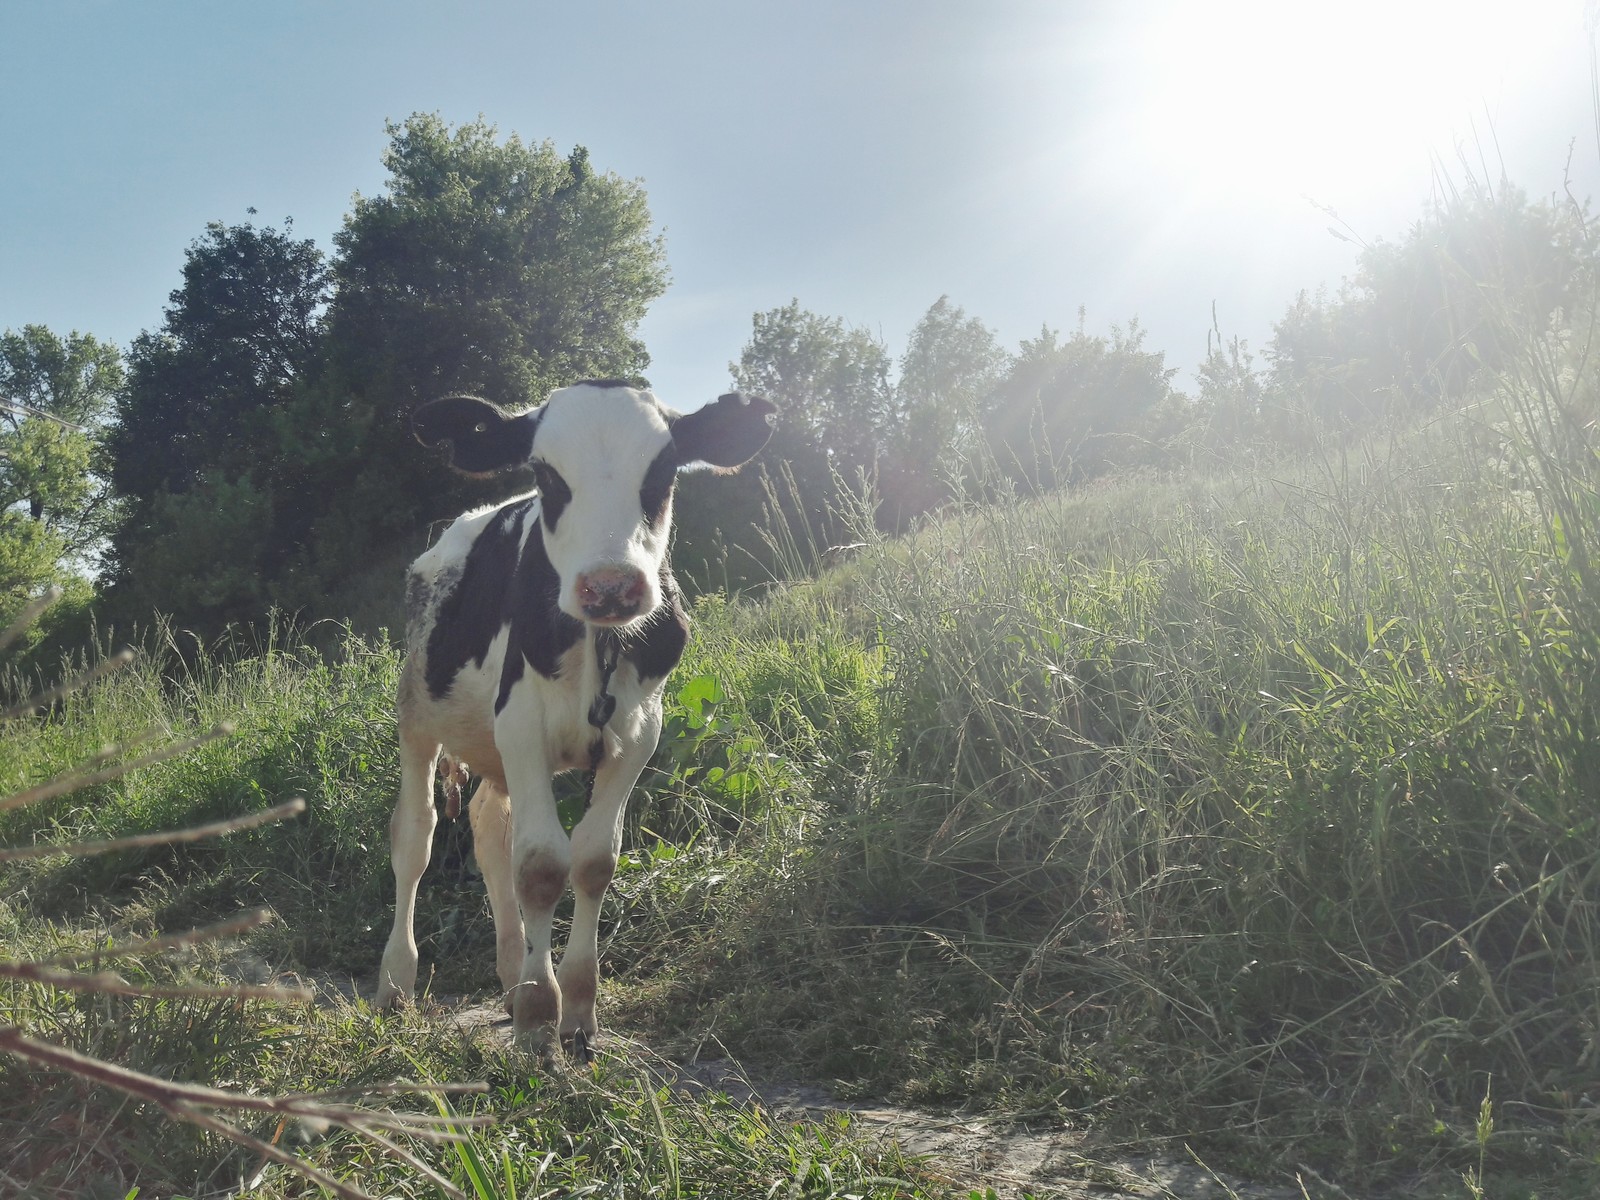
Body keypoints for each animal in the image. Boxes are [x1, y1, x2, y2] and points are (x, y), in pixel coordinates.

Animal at [374, 382, 774, 1049]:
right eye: (544, 473)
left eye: (664, 470)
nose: (610, 585)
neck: (600, 644)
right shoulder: (520, 725)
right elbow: (540, 866)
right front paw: (540, 1018)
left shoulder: (639, 733)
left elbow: (591, 861)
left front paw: (577, 1009)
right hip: (418, 717)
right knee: (416, 837)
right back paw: (396, 983)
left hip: (494, 754)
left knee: (488, 827)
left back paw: (511, 975)